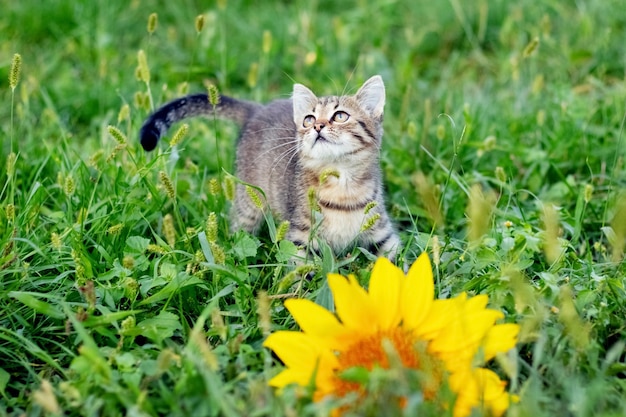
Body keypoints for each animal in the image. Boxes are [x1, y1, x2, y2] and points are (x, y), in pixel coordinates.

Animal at [138, 73, 398, 258]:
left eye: (340, 116)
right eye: (308, 119)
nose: (317, 126)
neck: (342, 185)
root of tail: (258, 109)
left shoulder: (385, 235)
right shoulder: (299, 238)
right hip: (248, 205)